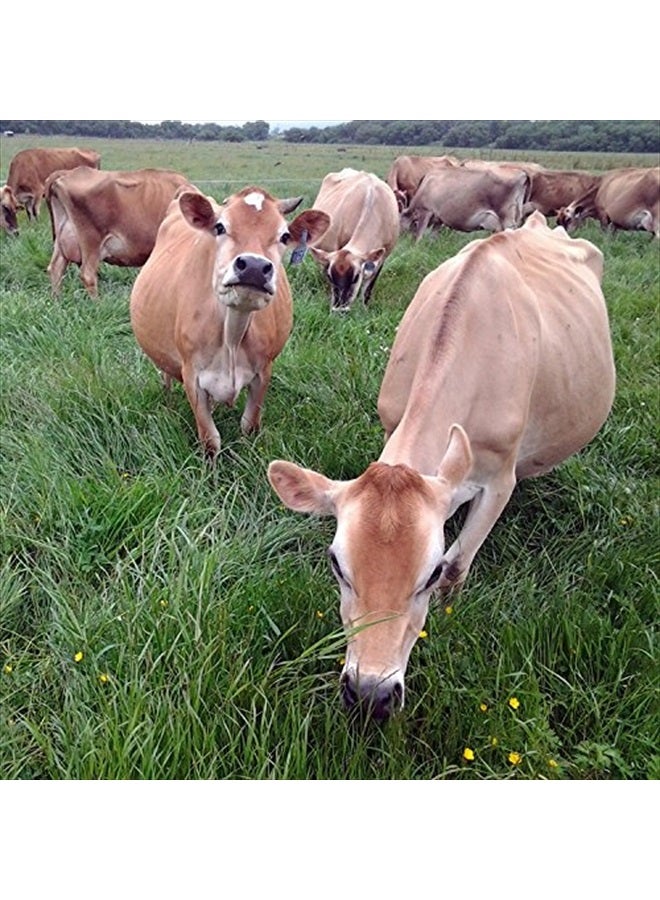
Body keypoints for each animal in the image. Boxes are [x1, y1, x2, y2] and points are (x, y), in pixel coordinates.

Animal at [45, 167, 195, 297]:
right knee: (87, 274)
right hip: (91, 239)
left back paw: (57, 300)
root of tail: (68, 172)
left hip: (62, 238)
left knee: (56, 267)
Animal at [130, 186, 330, 461]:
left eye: (285, 236)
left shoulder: (263, 371)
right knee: (166, 378)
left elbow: (249, 425)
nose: (254, 266)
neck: (231, 337)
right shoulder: (192, 375)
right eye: (220, 227)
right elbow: (210, 439)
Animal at [308, 168, 400, 311]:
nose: (339, 309)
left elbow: (368, 288)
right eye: (331, 277)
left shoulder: (383, 257)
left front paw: (364, 308)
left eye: (356, 277)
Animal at [401, 166, 530, 239]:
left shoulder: (425, 211)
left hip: (506, 217)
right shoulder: (439, 219)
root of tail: (522, 173)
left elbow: (419, 236)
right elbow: (433, 237)